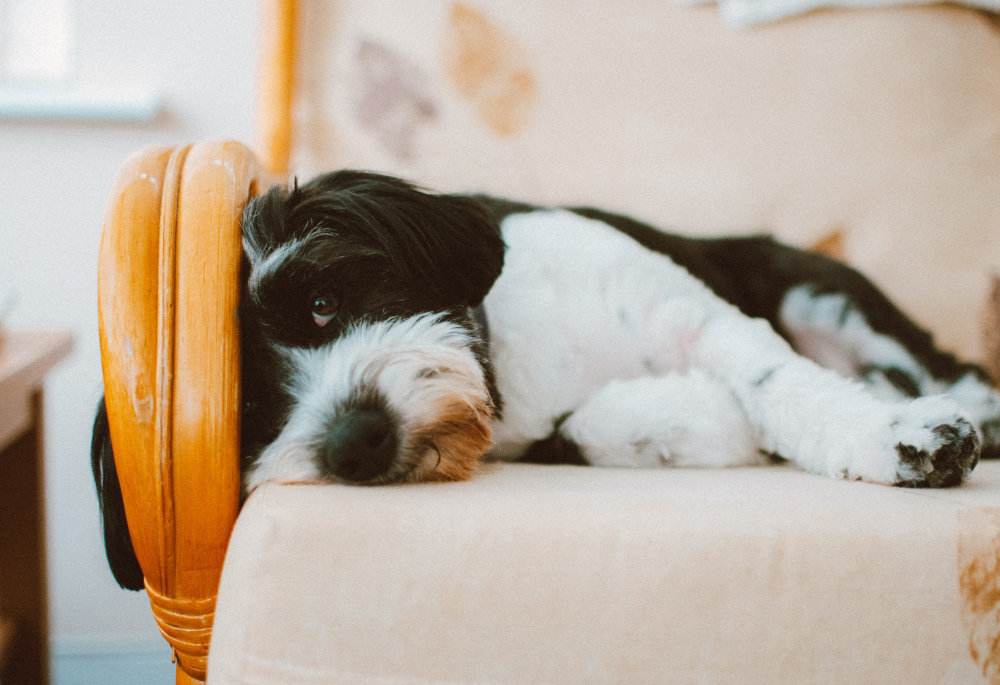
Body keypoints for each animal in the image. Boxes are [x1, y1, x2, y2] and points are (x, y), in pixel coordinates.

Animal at [92, 170, 1000, 588]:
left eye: (322, 303)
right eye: (253, 407)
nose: (356, 441)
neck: (525, 353)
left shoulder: (692, 316)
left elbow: (784, 384)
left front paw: (892, 435)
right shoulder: (543, 429)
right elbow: (608, 424)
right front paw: (698, 418)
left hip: (829, 296)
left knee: (956, 373)